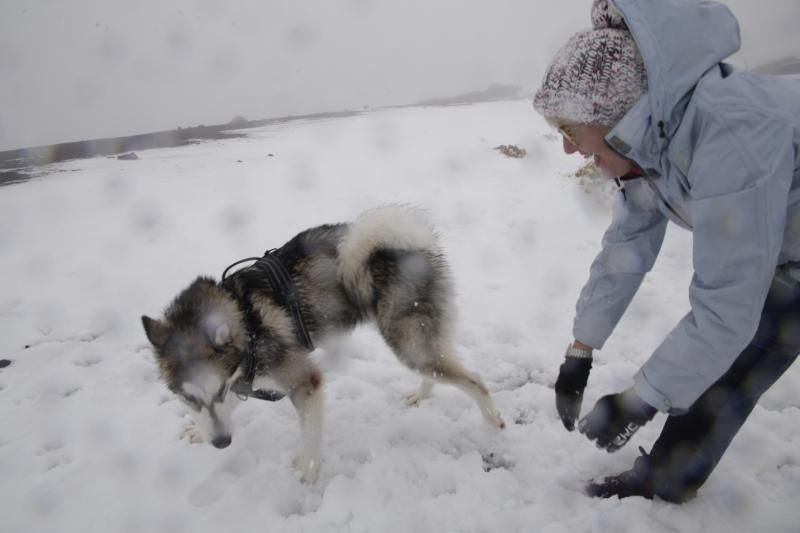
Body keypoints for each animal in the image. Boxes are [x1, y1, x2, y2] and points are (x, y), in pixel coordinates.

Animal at [141, 206, 504, 480]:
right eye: (189, 398)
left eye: (216, 391)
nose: (222, 443)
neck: (245, 319)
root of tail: (412, 246)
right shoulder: (241, 379)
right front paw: (199, 430)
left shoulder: (305, 382)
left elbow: (310, 438)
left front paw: (307, 473)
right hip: (417, 343)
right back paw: (422, 394)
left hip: (408, 342)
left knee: (474, 380)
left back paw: (492, 421)